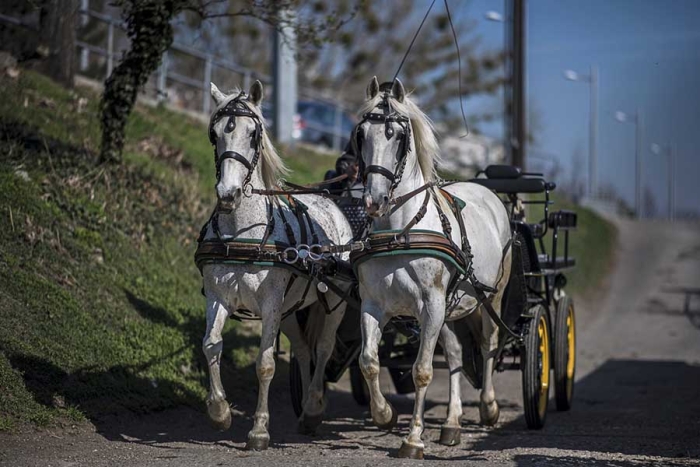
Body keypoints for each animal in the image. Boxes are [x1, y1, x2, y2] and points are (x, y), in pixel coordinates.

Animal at [201, 80, 356, 450]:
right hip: (290, 310)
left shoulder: (270, 304)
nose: (227, 194)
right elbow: (211, 345)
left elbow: (266, 363)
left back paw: (313, 409)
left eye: (254, 133)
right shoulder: (218, 297)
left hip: (335, 303)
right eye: (215, 133)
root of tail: (331, 202)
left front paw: (259, 430)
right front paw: (219, 411)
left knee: (324, 348)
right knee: (303, 349)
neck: (242, 232)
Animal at [352, 77, 512, 460]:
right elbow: (368, 361)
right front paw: (384, 415)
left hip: (490, 298)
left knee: (488, 344)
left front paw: (412, 439)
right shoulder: (373, 305)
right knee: (455, 354)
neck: (400, 231)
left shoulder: (431, 305)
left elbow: (422, 371)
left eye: (397, 135)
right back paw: (452, 423)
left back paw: (488, 406)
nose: (373, 200)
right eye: (361, 134)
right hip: (451, 309)